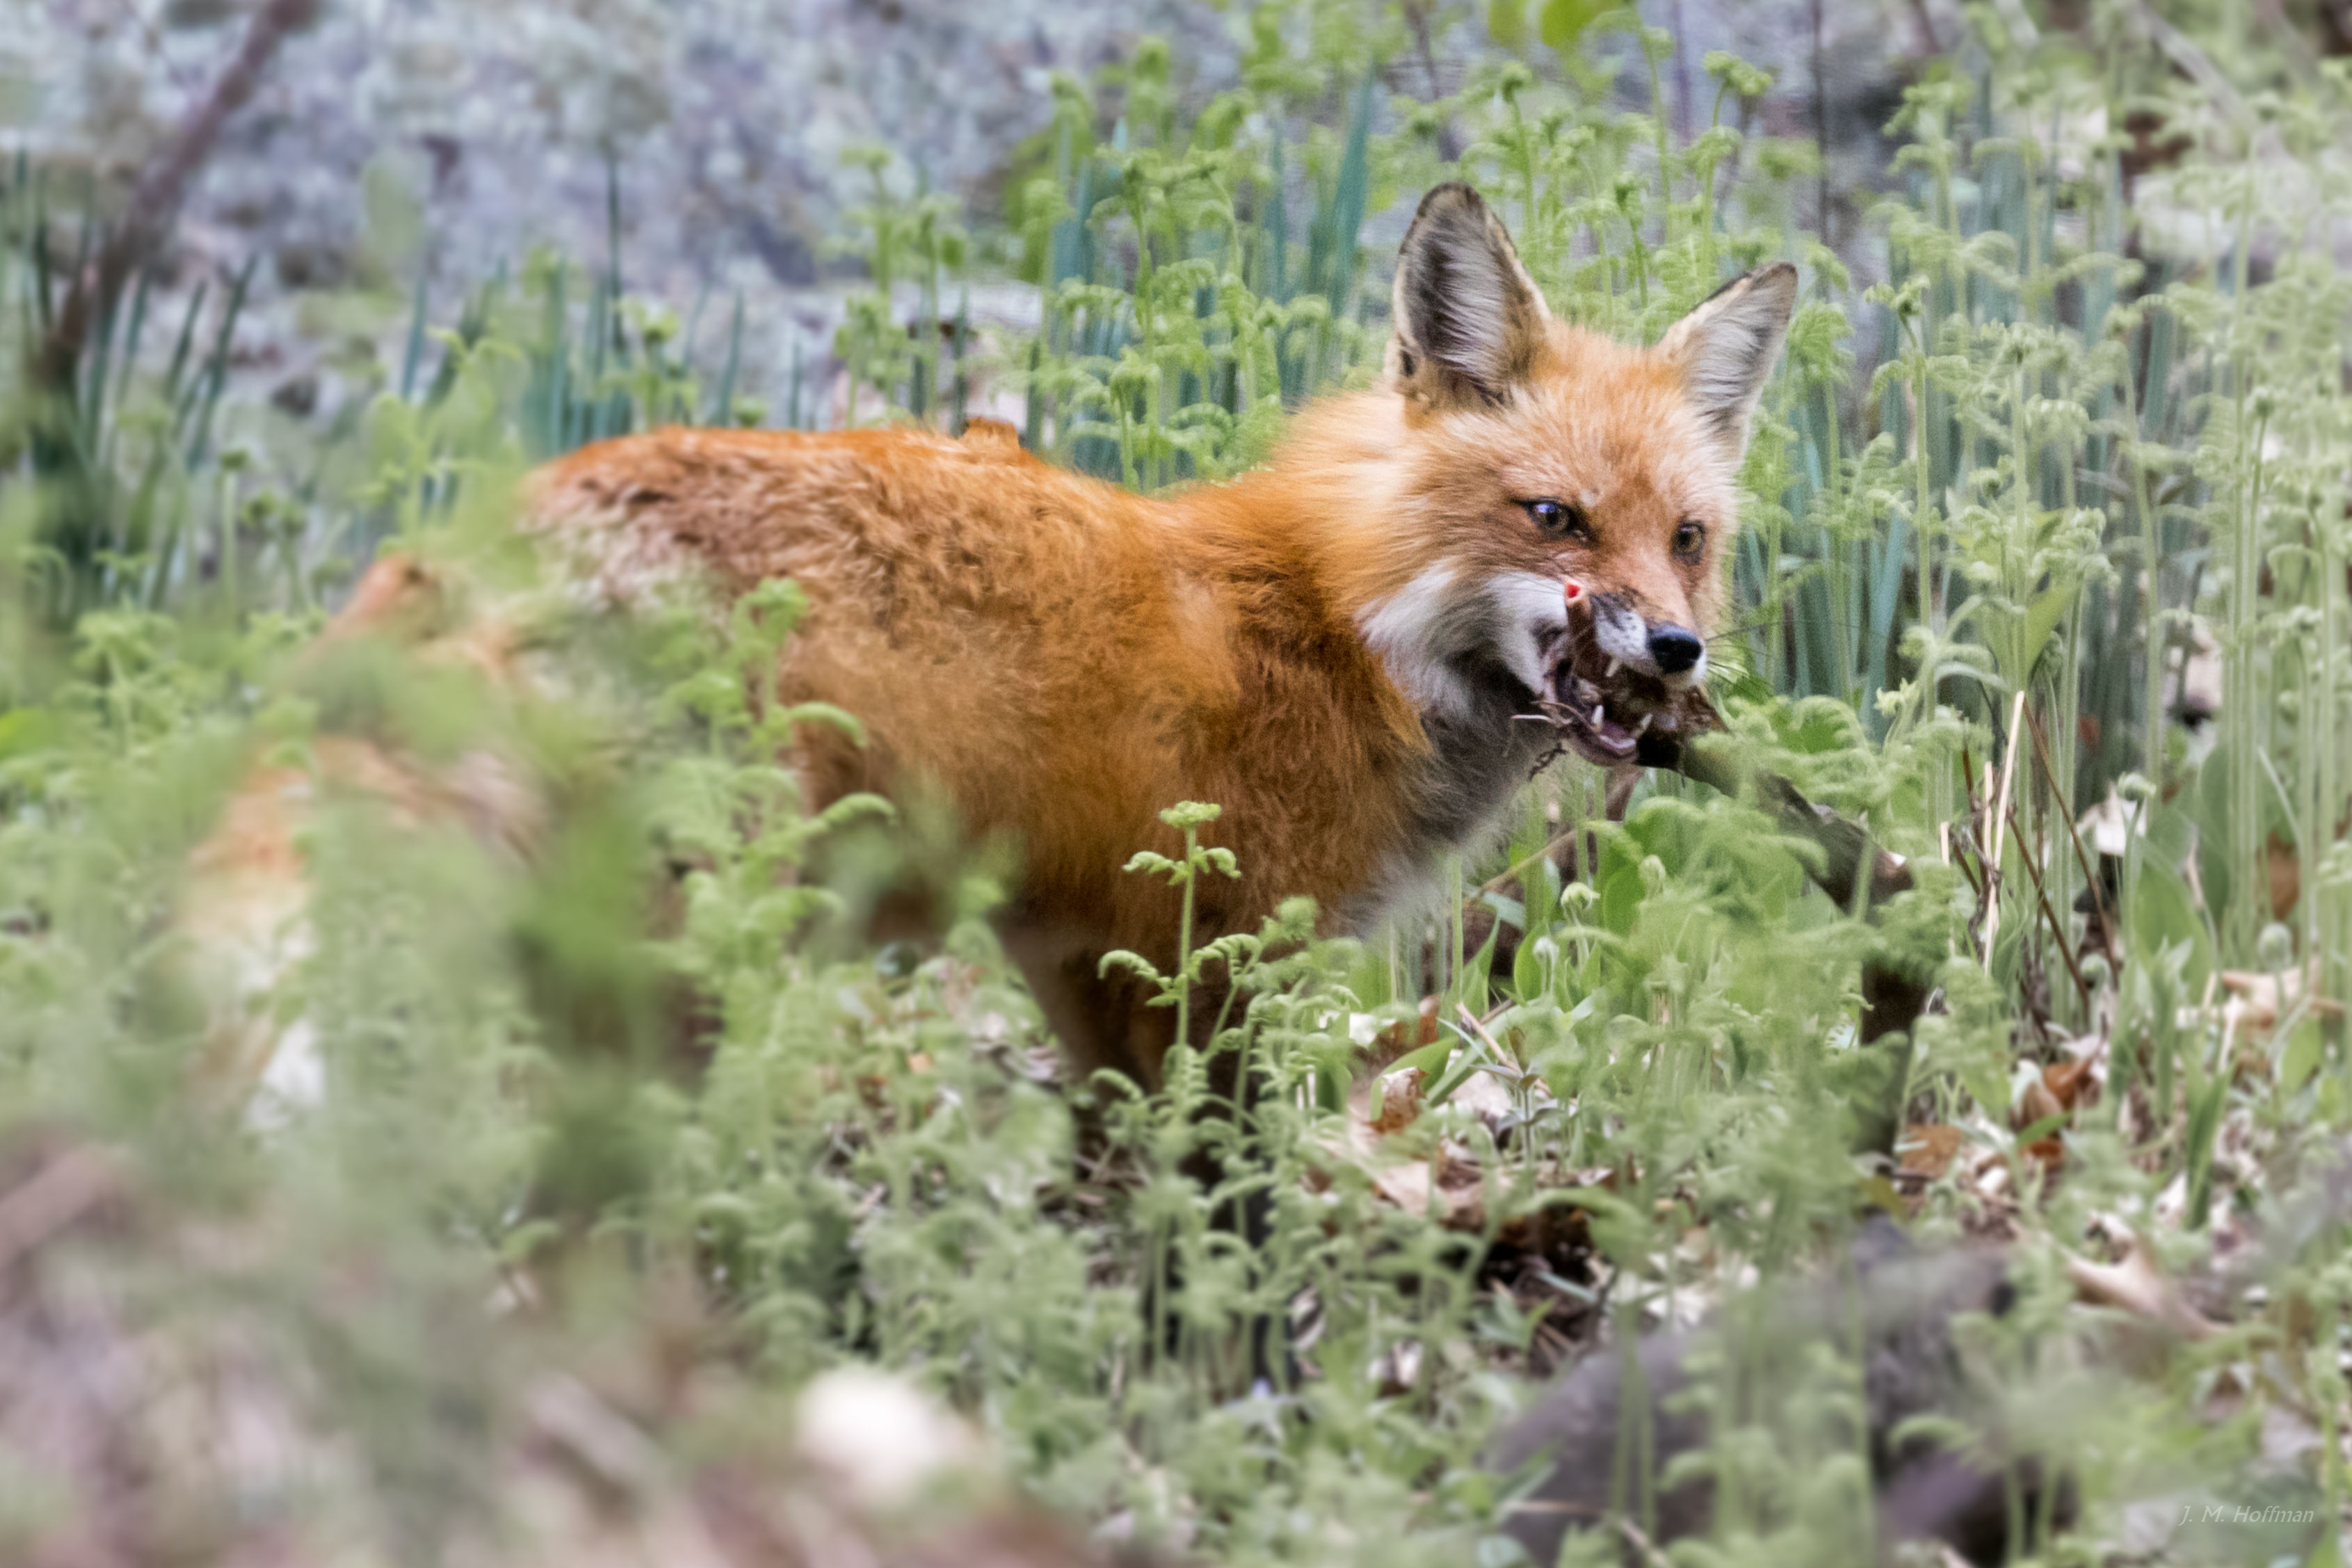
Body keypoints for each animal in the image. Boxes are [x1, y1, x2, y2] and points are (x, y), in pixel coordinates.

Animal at [181, 181, 1796, 1103]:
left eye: (1686, 540)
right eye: (1554, 519)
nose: (1670, 653)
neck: (1341, 625)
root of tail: (492, 528)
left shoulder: (1079, 967)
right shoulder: (1202, 966)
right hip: (678, 962)